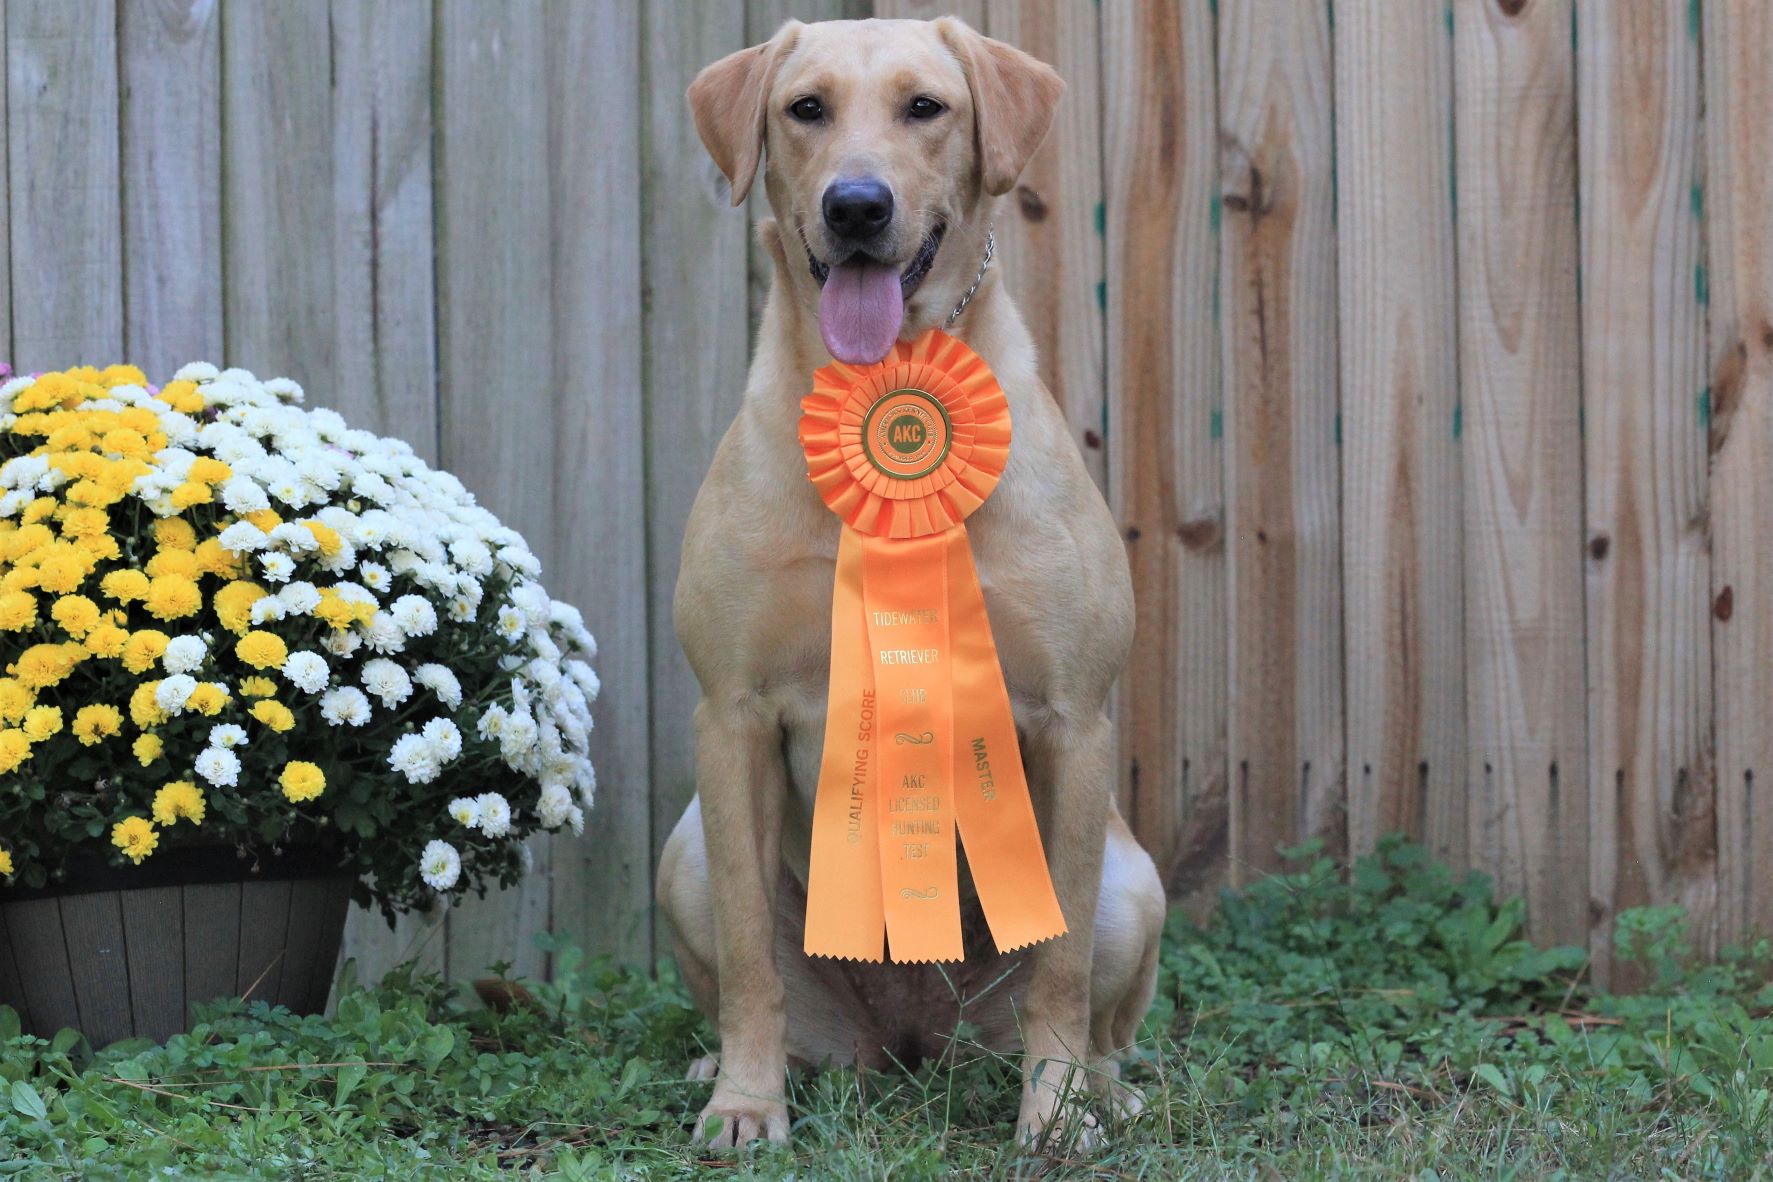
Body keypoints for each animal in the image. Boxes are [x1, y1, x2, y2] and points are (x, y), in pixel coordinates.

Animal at [659, 16, 1170, 1148]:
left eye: (924, 107)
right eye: (804, 108)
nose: (856, 206)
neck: (886, 383)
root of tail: (915, 1040)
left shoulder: (1074, 721)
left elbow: (1061, 968)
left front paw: (1054, 1116)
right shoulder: (731, 715)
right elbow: (753, 960)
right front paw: (745, 1105)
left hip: (1135, 880)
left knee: (1098, 1008)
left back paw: (1105, 1085)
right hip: (686, 854)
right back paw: (729, 1066)